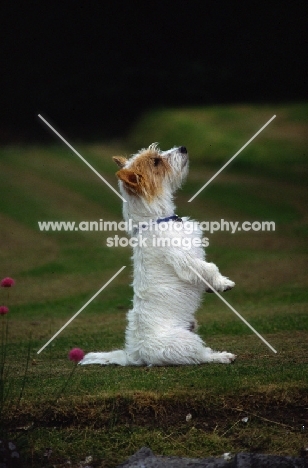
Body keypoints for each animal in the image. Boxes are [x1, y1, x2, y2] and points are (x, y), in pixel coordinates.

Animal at [79, 144, 236, 368]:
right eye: (156, 161)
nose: (183, 148)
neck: (156, 220)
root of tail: (134, 354)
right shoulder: (185, 261)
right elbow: (209, 267)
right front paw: (223, 283)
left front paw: (212, 285)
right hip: (184, 342)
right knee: (199, 355)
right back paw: (222, 356)